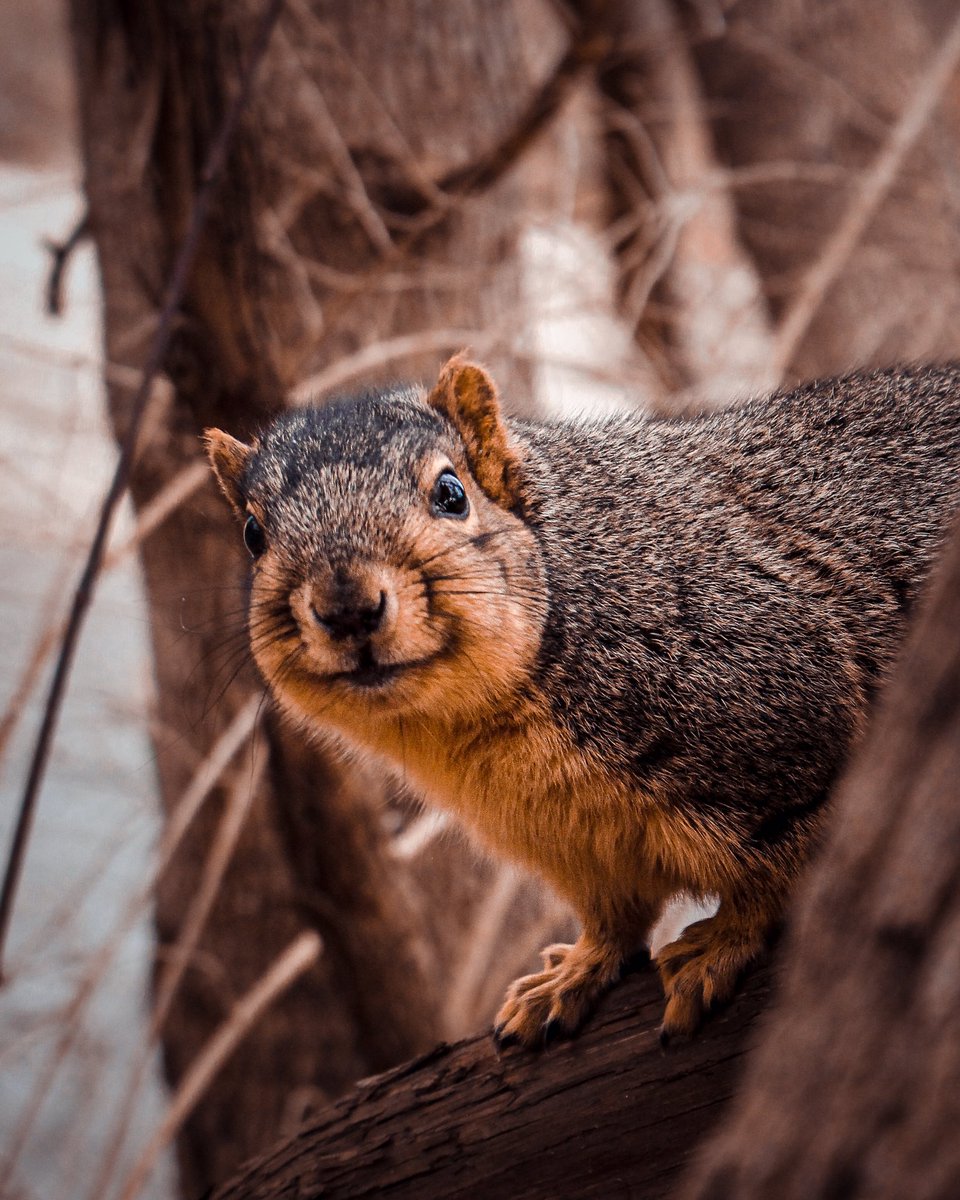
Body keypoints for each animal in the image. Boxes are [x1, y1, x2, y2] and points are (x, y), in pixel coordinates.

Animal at [205, 357, 960, 1046]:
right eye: (253, 534)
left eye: (451, 492)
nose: (347, 606)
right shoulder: (573, 844)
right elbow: (612, 916)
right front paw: (574, 973)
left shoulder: (777, 720)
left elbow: (785, 868)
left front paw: (722, 940)